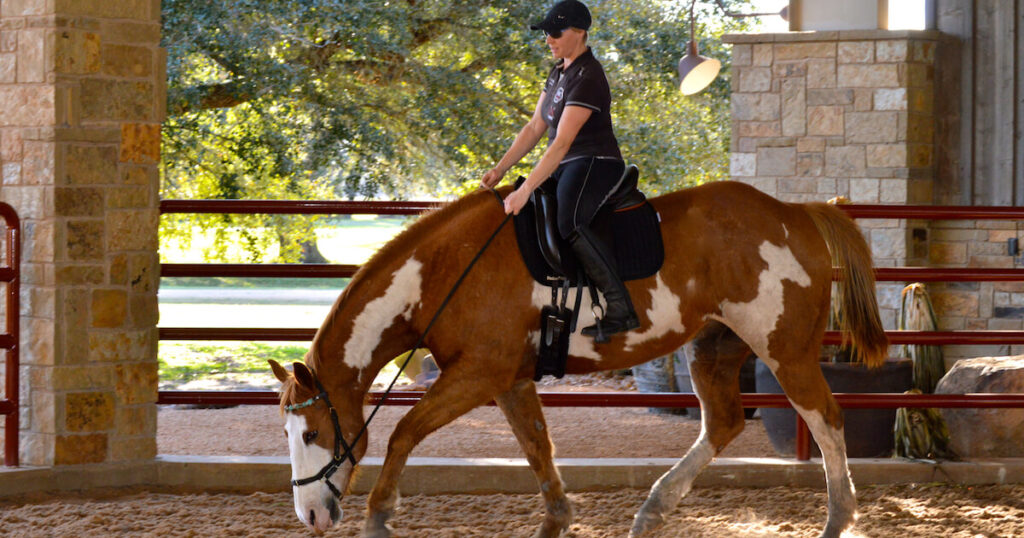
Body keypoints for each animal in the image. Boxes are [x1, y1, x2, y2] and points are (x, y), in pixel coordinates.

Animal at [270, 181, 888, 536]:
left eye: (310, 433)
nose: (310, 516)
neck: (443, 273)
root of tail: (795, 213)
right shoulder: (510, 381)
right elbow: (537, 448)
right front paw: (558, 519)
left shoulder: (475, 375)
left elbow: (403, 433)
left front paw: (379, 516)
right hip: (714, 347)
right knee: (724, 423)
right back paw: (654, 509)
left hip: (785, 351)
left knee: (826, 420)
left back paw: (839, 518)